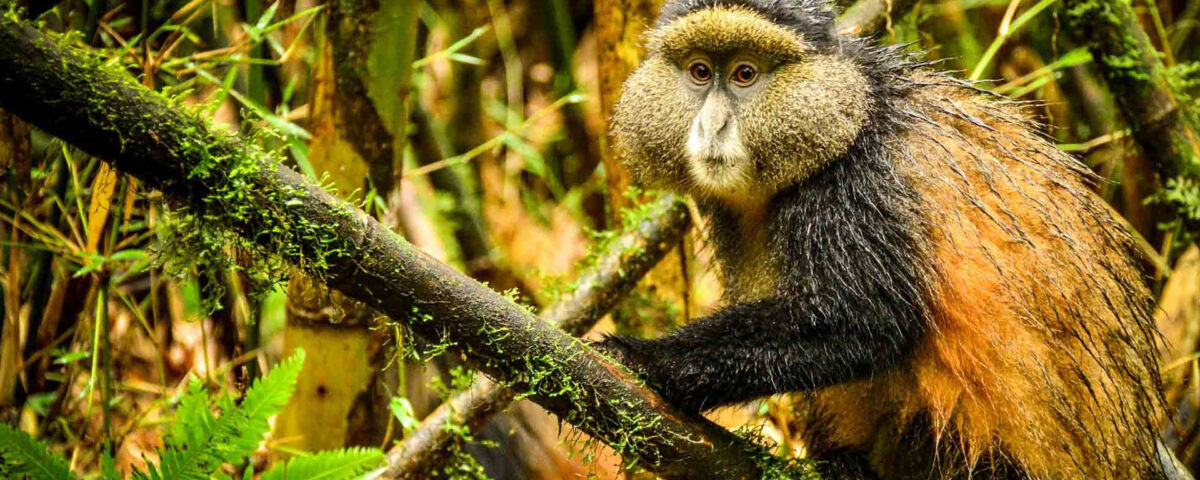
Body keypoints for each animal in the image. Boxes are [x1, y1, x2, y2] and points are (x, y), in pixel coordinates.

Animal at [595, 0, 1170, 478]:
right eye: (699, 72)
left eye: (745, 74)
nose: (711, 127)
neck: (850, 112)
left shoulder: (856, 187)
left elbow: (865, 320)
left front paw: (645, 359)